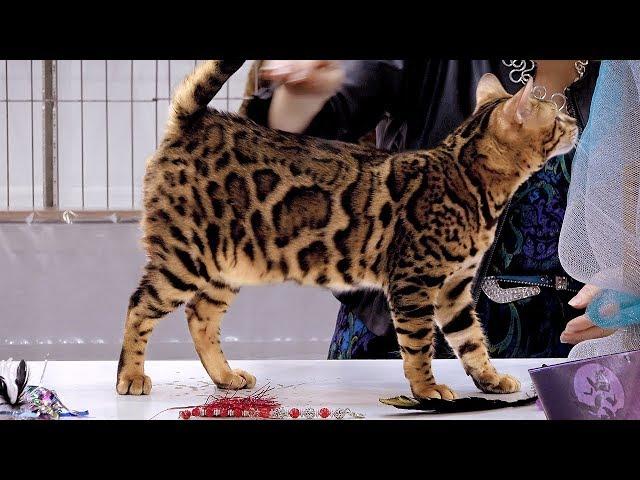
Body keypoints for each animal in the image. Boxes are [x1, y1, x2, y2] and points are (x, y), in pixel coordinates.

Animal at [116, 60, 580, 402]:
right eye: (557, 117)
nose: (576, 122)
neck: (471, 179)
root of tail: (194, 122)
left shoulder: (454, 287)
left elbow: (471, 341)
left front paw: (490, 380)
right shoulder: (413, 281)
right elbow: (418, 345)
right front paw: (426, 389)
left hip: (227, 263)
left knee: (200, 316)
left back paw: (225, 376)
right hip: (185, 255)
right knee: (139, 305)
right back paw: (132, 376)